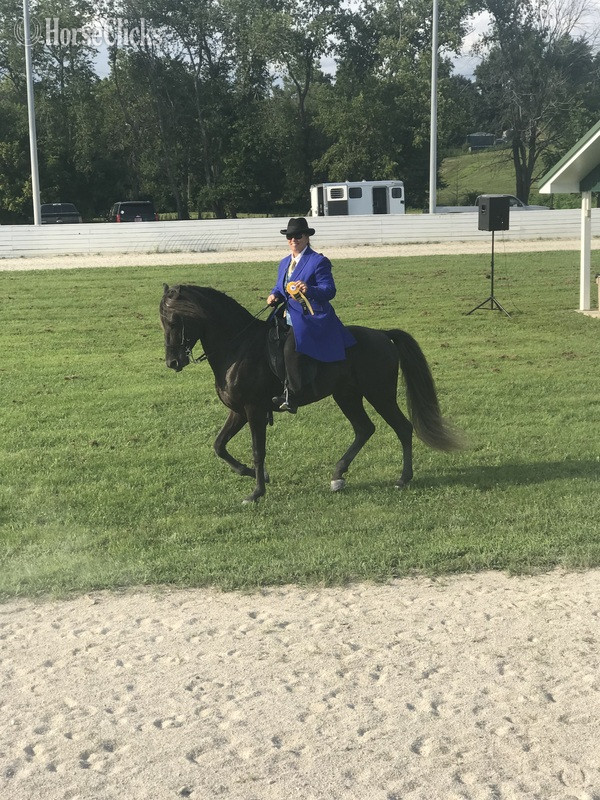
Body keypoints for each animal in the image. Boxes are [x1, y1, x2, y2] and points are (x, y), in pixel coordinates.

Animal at [160, 284, 461, 503]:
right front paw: (256, 475)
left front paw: (256, 492)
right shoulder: (239, 411)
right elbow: (219, 446)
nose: (173, 362)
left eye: (175, 321)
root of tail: (382, 335)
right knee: (364, 429)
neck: (238, 347)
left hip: (380, 394)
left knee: (403, 428)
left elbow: (258, 450)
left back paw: (402, 479)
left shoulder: (254, 410)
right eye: (162, 322)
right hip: (347, 396)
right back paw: (338, 475)